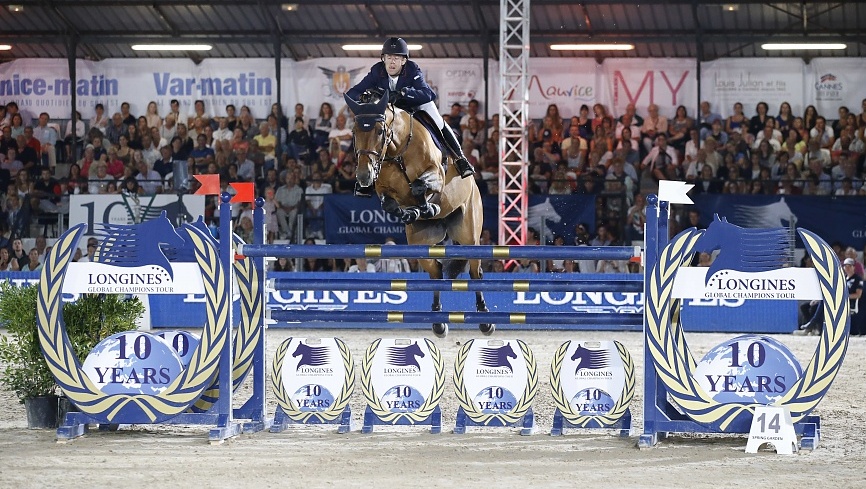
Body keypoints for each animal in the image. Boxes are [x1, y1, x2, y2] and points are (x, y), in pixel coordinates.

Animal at [346, 91, 492, 338]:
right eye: (355, 132)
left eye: (380, 131)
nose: (364, 176)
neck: (397, 151)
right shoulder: (384, 189)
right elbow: (389, 204)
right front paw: (411, 212)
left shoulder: (437, 175)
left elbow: (420, 186)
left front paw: (426, 206)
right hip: (421, 243)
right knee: (436, 272)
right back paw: (438, 322)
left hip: (469, 234)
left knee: (475, 272)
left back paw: (485, 320)